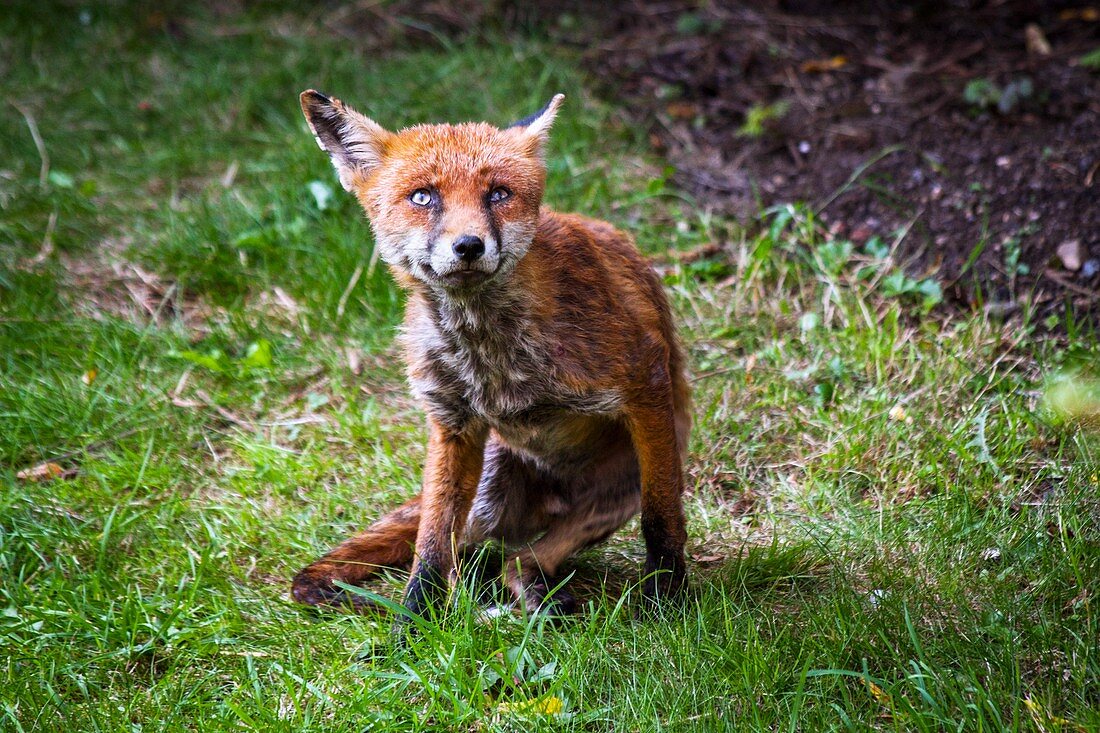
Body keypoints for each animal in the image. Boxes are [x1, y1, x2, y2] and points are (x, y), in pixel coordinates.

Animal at [292, 91, 686, 616]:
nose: (468, 245)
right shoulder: (452, 423)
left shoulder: (646, 384)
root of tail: (554, 493)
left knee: (520, 561)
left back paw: (537, 601)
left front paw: (668, 595)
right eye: (423, 197)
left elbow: (662, 516)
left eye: (497, 194)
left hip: (620, 485)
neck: (493, 358)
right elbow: (430, 548)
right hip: (487, 491)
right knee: (469, 555)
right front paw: (413, 624)